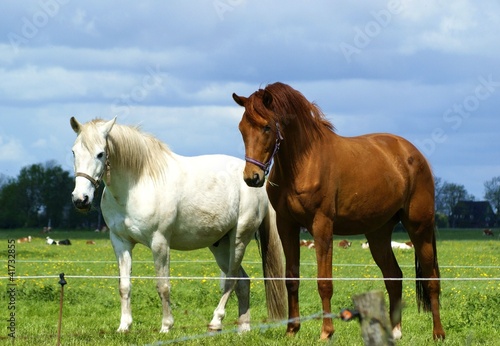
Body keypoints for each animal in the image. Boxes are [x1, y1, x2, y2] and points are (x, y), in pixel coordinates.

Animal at [70, 116, 286, 332]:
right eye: (74, 152)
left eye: (100, 154)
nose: (81, 199)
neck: (137, 185)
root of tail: (257, 181)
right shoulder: (120, 242)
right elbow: (124, 286)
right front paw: (124, 326)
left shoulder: (159, 243)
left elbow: (163, 286)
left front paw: (166, 326)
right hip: (221, 246)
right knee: (243, 281)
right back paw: (243, 328)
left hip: (239, 239)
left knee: (231, 279)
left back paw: (216, 322)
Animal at [234, 82, 446, 342]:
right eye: (242, 128)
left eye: (266, 127)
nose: (251, 177)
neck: (303, 162)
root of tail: (414, 154)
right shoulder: (287, 226)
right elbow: (291, 279)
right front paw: (292, 330)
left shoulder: (322, 226)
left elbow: (324, 282)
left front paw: (327, 331)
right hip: (378, 234)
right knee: (394, 277)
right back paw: (394, 332)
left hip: (419, 228)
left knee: (431, 279)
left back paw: (438, 333)